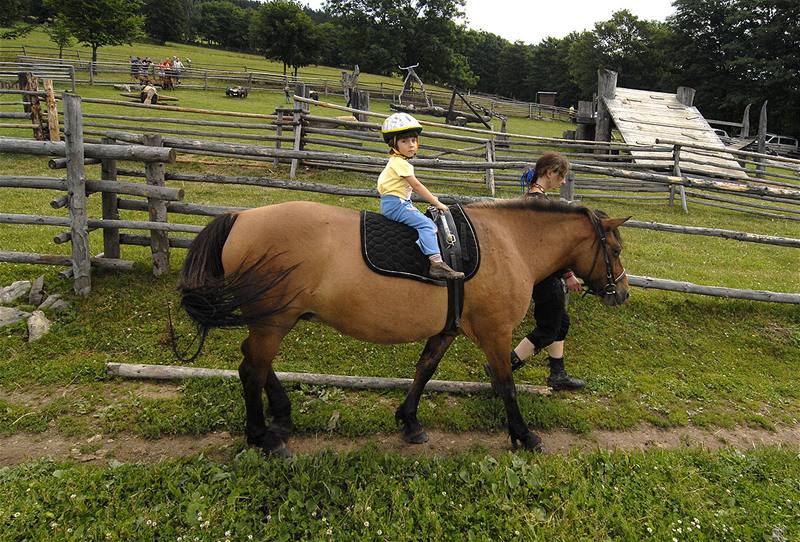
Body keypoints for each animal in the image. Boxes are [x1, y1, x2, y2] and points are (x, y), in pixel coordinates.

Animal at [177, 198, 632, 456]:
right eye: (614, 249)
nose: (623, 292)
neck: (508, 244)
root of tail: (240, 218)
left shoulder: (447, 328)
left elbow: (424, 370)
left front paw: (409, 420)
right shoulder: (494, 333)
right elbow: (506, 384)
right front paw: (524, 435)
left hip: (272, 319)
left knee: (253, 363)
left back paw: (281, 415)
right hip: (273, 321)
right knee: (251, 369)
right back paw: (262, 436)